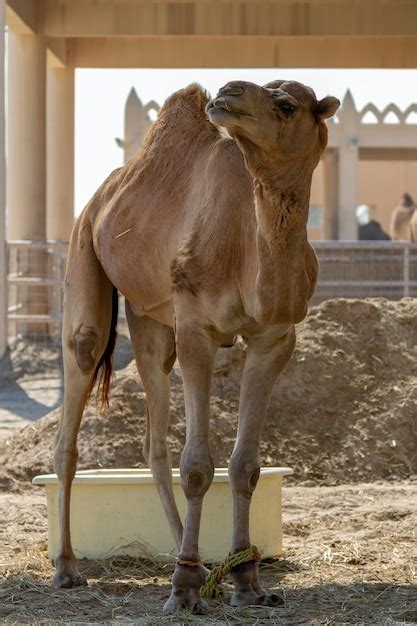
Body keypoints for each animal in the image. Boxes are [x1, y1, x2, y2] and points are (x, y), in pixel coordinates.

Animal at [52, 80, 338, 612]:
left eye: (287, 104)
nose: (228, 92)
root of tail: (100, 198)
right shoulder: (196, 330)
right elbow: (199, 467)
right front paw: (184, 589)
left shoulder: (274, 338)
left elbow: (244, 466)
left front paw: (246, 580)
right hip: (85, 258)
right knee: (78, 380)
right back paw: (67, 567)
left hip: (150, 321)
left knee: (154, 441)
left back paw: (204, 565)